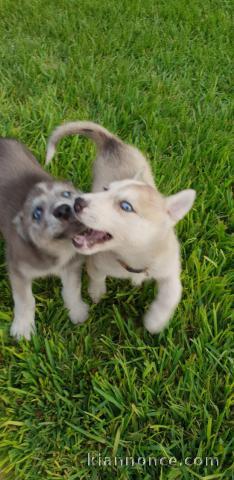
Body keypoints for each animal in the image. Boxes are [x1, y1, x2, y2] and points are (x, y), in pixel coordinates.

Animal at [0, 138, 88, 342]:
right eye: (37, 213)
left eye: (66, 194)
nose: (63, 209)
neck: (59, 248)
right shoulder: (18, 270)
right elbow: (25, 300)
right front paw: (23, 328)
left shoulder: (72, 265)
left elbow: (72, 289)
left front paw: (77, 311)